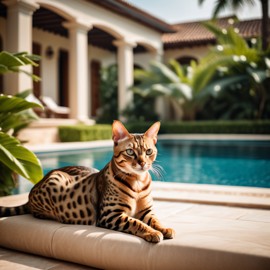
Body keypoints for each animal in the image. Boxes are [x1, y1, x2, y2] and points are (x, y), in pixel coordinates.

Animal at [0, 120, 175, 243]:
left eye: (149, 151)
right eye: (130, 152)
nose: (142, 163)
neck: (138, 182)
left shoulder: (146, 211)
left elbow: (155, 220)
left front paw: (164, 228)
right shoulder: (110, 214)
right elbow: (135, 223)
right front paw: (152, 232)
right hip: (56, 179)